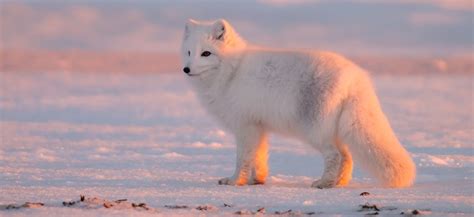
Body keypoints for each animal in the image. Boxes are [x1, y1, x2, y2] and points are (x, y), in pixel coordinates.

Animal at [180, 19, 416, 188]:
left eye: (206, 53)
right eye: (189, 52)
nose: (186, 69)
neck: (232, 70)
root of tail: (355, 77)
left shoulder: (245, 127)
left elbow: (244, 158)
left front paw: (235, 180)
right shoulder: (258, 126)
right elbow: (259, 157)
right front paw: (257, 180)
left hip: (314, 130)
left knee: (335, 155)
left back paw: (324, 183)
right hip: (333, 130)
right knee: (347, 157)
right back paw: (340, 183)